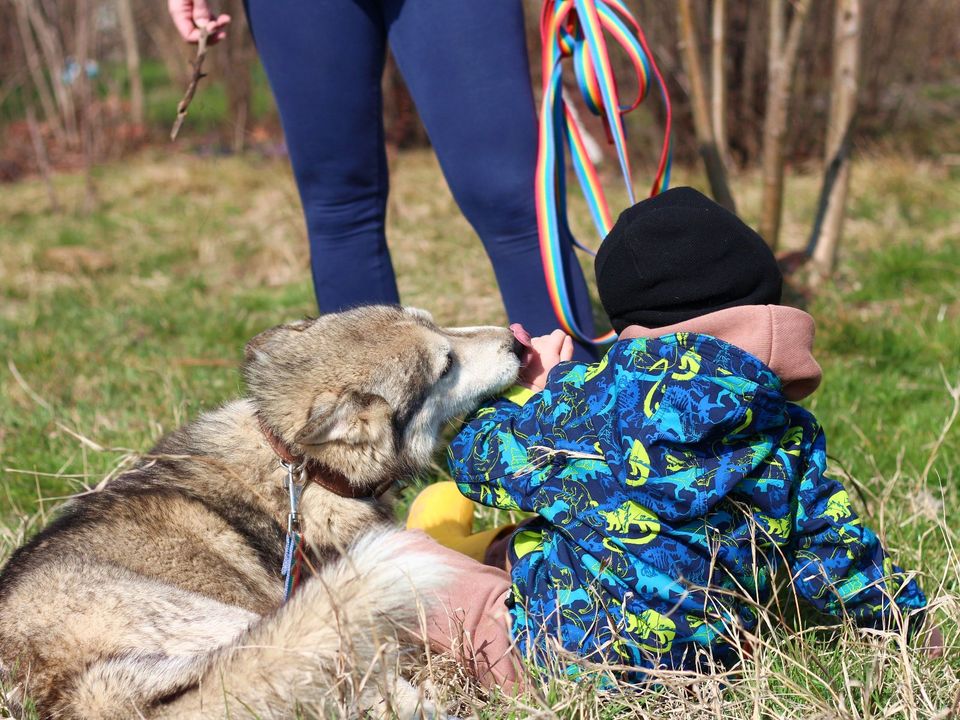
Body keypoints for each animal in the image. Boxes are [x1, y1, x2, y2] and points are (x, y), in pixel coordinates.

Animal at [0, 306, 520, 716]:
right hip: (261, 626)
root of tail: (80, 694)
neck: (299, 465)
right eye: (446, 365)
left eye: (435, 321)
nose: (516, 341)